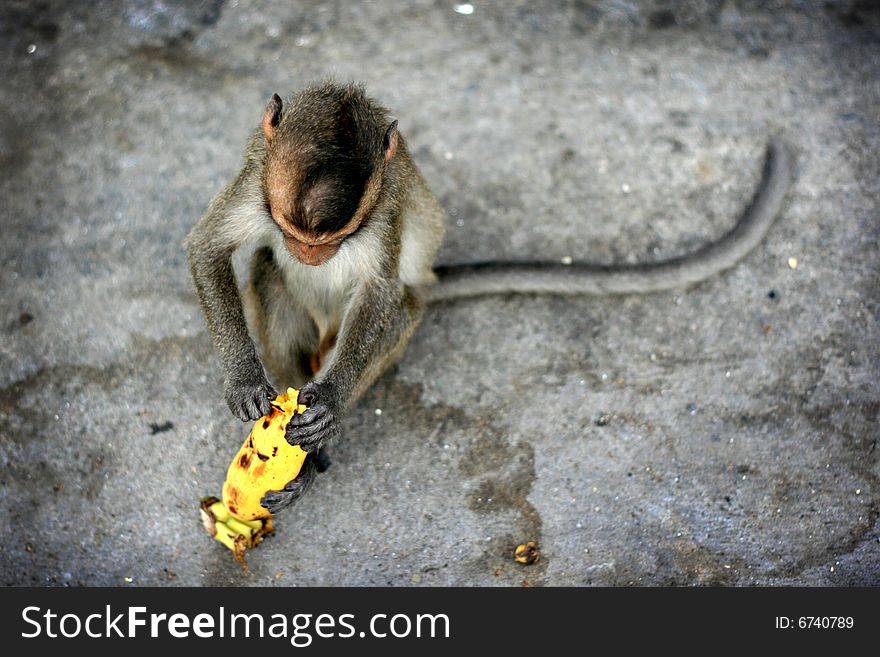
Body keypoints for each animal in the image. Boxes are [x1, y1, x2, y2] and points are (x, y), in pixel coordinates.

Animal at [184, 80, 792, 512]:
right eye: (290, 229)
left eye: (333, 238)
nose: (310, 255)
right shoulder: (254, 179)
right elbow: (208, 248)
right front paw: (244, 381)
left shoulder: (386, 208)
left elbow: (379, 293)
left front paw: (328, 406)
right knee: (265, 267)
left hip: (390, 315)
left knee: (398, 307)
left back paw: (311, 452)